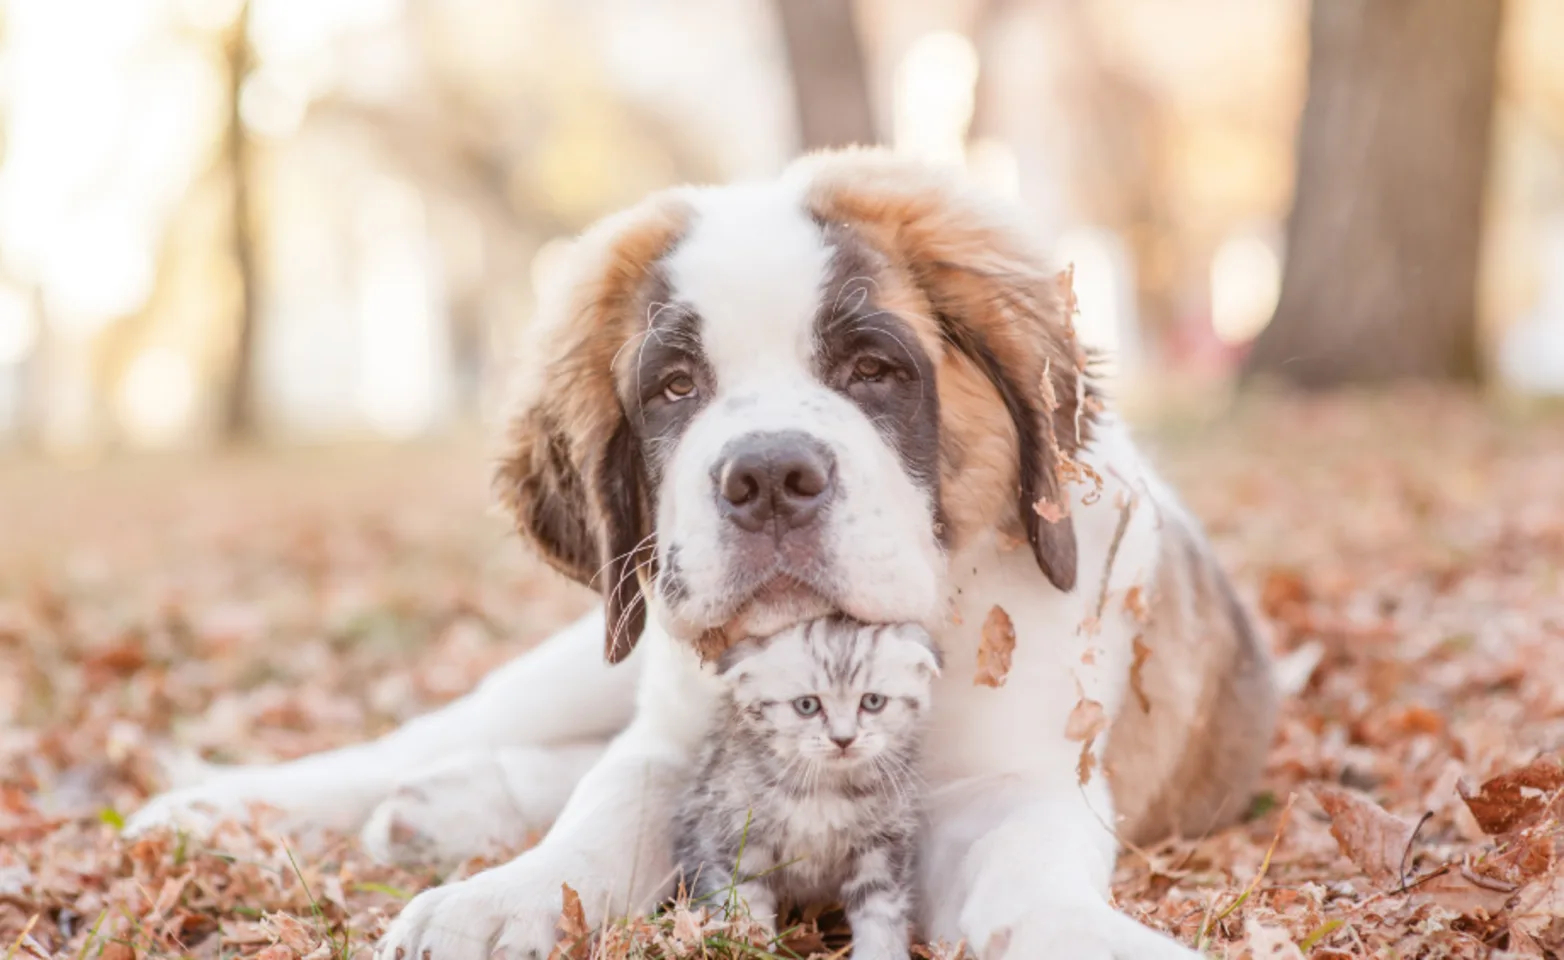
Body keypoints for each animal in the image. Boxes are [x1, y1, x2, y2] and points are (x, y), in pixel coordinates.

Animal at [675, 622, 938, 956]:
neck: (826, 790)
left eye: (873, 702)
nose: (843, 739)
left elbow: (880, 907)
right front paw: (753, 948)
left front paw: (881, 951)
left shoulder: (883, 844)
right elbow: (746, 903)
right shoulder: (736, 836)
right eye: (807, 705)